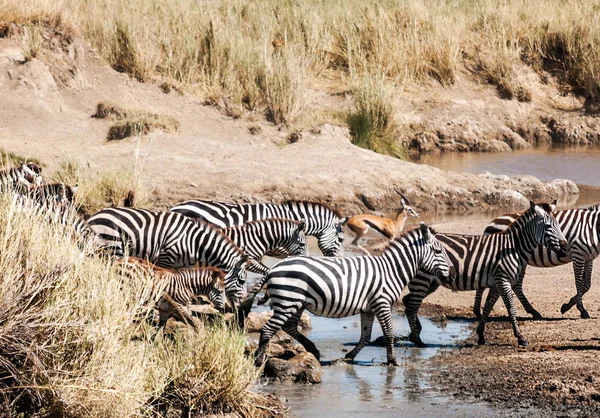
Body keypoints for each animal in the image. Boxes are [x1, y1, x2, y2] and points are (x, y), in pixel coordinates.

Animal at [86, 207, 251, 306]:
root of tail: (93, 217)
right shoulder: (166, 257)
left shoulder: (182, 265)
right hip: (112, 247)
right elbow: (163, 278)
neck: (195, 242)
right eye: (242, 281)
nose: (243, 304)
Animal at [244, 222, 454, 366]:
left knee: (289, 327)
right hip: (288, 301)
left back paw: (313, 350)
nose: (452, 274)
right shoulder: (382, 303)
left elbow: (366, 336)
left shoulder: (368, 308)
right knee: (268, 329)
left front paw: (349, 356)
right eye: (438, 251)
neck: (391, 270)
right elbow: (389, 333)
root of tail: (273, 268)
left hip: (295, 303)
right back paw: (259, 361)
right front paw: (392, 361)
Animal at [404, 201, 568, 348]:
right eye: (548, 226)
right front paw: (520, 337)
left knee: (408, 301)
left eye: (559, 226)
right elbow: (511, 308)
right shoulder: (503, 281)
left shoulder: (497, 283)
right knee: (411, 306)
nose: (565, 247)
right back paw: (417, 339)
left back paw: (415, 332)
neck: (513, 248)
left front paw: (481, 335)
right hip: (423, 279)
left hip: (431, 283)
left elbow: (488, 307)